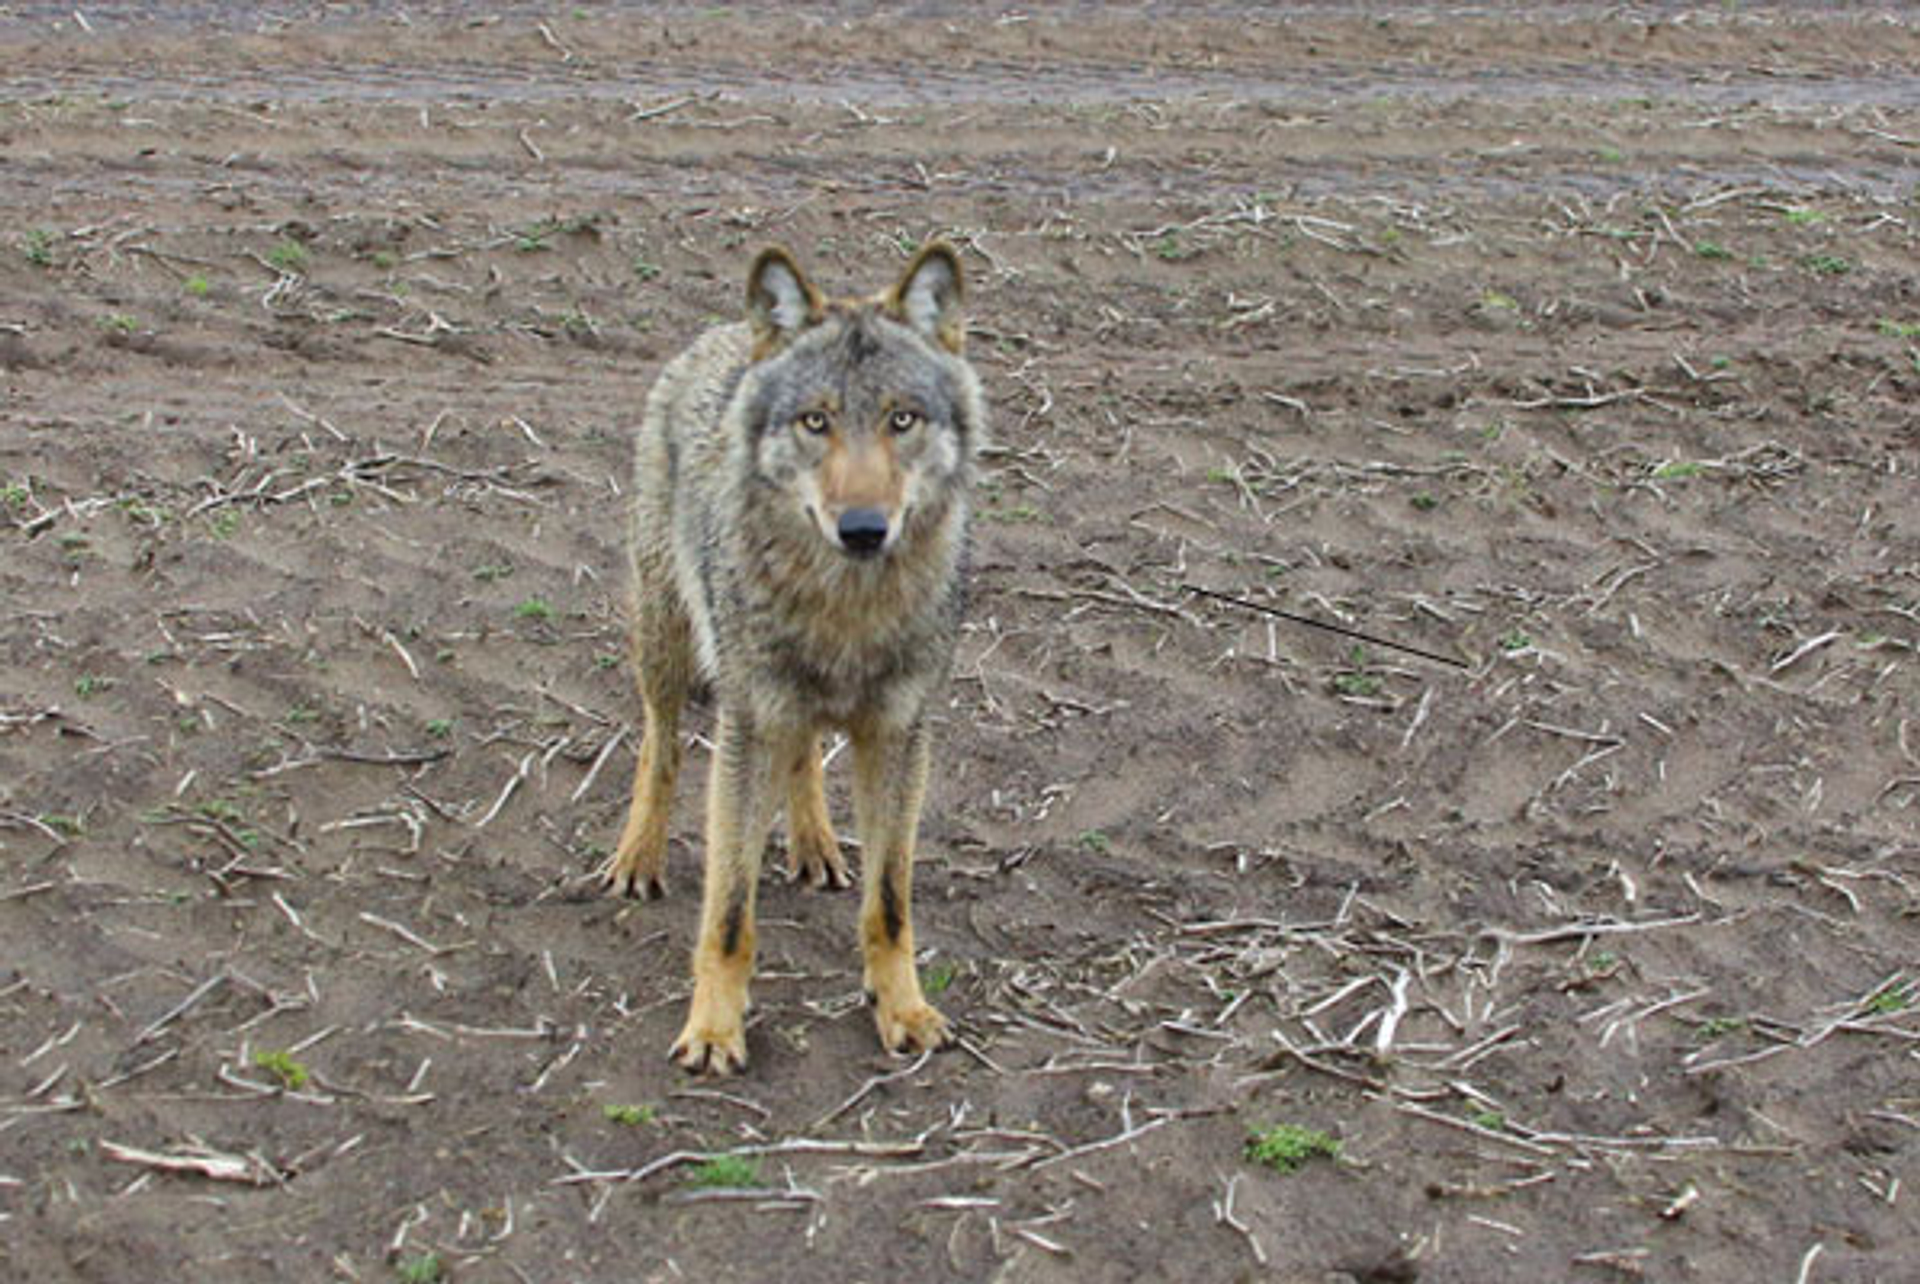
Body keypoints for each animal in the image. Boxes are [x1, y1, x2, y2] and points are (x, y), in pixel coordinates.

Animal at [599, 241, 987, 1075]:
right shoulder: (749, 728)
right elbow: (728, 914)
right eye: (817, 421)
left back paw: (815, 847)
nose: (864, 528)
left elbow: (890, 904)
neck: (846, 608)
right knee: (659, 746)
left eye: (901, 419)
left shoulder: (900, 736)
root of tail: (720, 335)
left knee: (806, 756)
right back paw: (638, 858)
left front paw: (903, 1009)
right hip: (667, 646)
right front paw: (714, 1030)